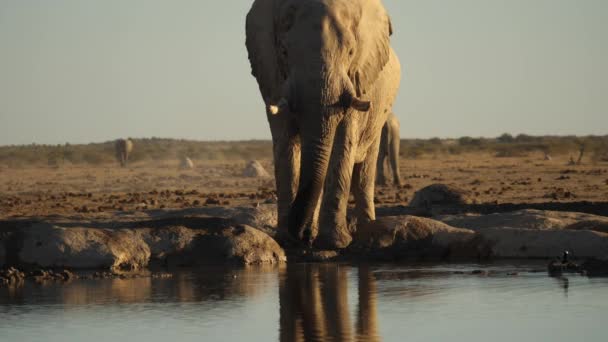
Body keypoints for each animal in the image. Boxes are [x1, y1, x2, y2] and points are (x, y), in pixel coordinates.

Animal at [245, 0, 402, 247]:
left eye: (351, 52)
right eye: (284, 52)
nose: (301, 235)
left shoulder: (356, 82)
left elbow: (343, 142)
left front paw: (334, 243)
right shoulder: (273, 79)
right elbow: (286, 145)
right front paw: (287, 241)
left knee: (364, 171)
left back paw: (366, 230)